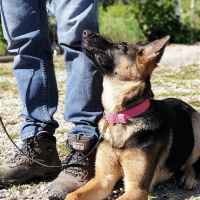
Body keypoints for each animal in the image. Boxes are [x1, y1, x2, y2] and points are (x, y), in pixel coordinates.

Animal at [65, 30, 199, 200]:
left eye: (121, 45)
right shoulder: (103, 179)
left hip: (197, 127)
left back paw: (189, 178)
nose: (85, 32)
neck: (121, 116)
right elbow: (73, 195)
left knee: (190, 163)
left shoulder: (137, 189)